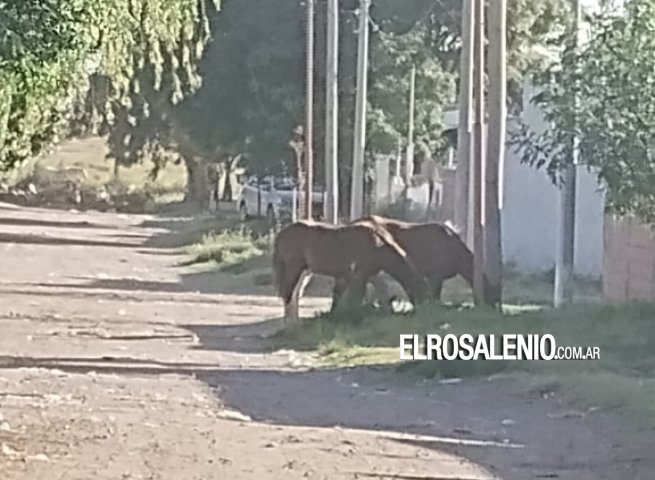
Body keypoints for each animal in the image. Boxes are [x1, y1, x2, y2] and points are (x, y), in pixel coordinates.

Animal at [272, 219, 430, 320]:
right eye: (421, 290)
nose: (424, 310)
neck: (378, 243)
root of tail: (281, 233)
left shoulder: (371, 274)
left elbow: (382, 293)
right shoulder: (359, 275)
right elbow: (355, 297)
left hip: (305, 272)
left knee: (294, 294)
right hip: (294, 268)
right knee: (289, 294)